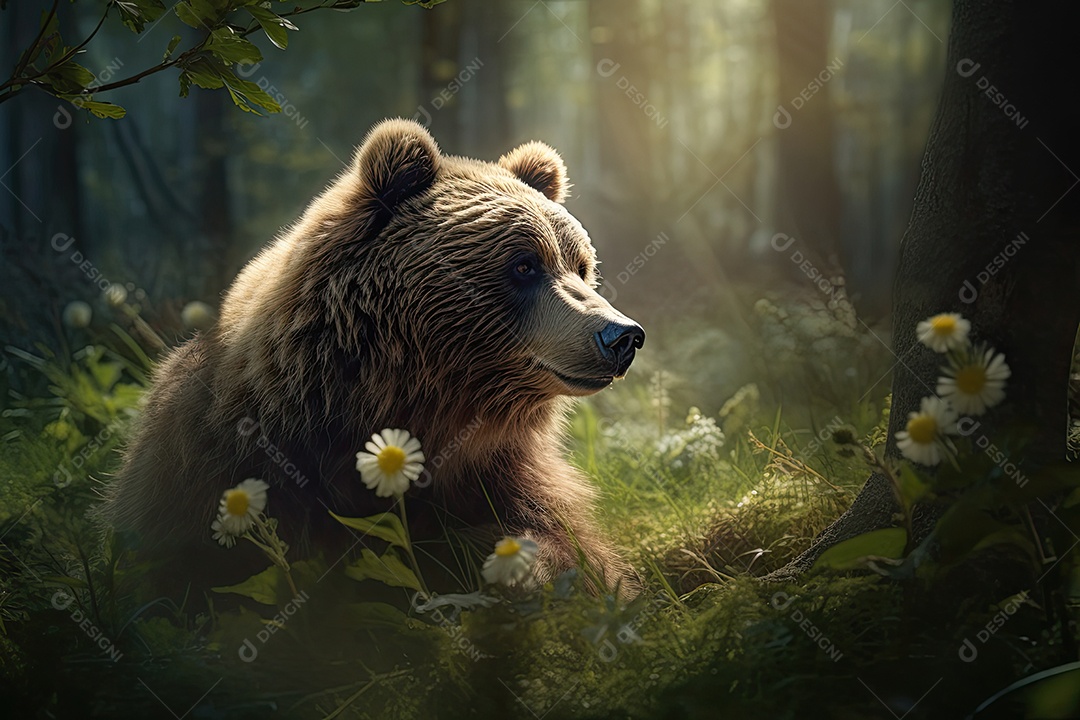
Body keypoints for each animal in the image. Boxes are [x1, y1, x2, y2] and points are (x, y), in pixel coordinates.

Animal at [101, 118, 645, 597]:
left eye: (581, 266)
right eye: (525, 264)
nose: (622, 336)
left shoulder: (500, 476)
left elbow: (571, 552)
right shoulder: (219, 463)